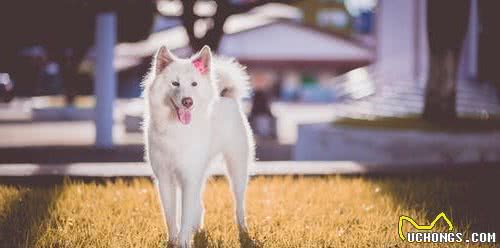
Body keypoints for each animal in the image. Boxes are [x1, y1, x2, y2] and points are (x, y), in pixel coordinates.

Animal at [144, 45, 254, 247]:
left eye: (194, 84)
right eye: (175, 83)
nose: (188, 101)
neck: (177, 129)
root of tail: (225, 96)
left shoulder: (189, 176)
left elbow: (185, 214)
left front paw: (183, 241)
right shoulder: (165, 179)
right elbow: (171, 216)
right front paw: (173, 240)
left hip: (237, 169)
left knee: (239, 203)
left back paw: (243, 230)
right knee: (199, 205)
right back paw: (197, 229)